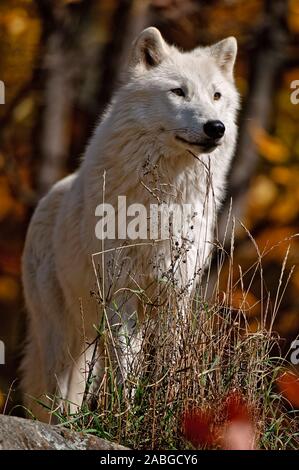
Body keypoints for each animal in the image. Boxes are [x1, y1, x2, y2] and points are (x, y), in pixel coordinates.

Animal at [21, 27, 240, 420]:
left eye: (217, 95)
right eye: (178, 91)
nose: (216, 127)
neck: (162, 204)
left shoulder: (175, 295)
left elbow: (169, 362)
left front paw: (166, 411)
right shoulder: (121, 294)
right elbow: (129, 368)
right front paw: (128, 413)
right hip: (61, 335)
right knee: (57, 390)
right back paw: (64, 423)